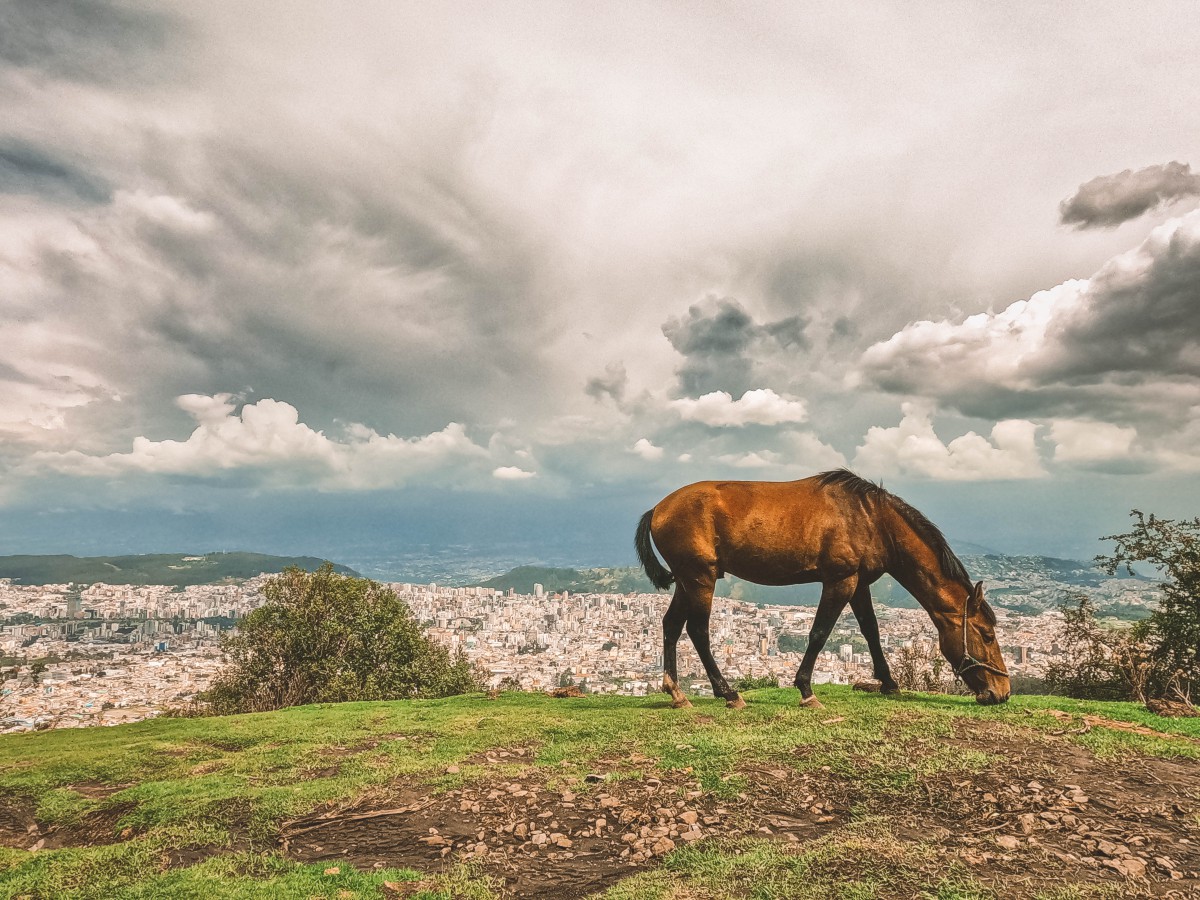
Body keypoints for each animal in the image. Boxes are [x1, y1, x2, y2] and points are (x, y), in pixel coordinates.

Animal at [633, 472, 1008, 710]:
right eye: (987, 635)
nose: (1002, 692)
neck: (874, 520)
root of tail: (658, 509)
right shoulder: (840, 580)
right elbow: (819, 633)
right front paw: (806, 689)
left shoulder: (859, 583)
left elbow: (871, 631)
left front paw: (889, 684)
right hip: (701, 578)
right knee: (698, 630)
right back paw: (728, 693)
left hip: (687, 580)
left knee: (670, 625)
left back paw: (677, 693)